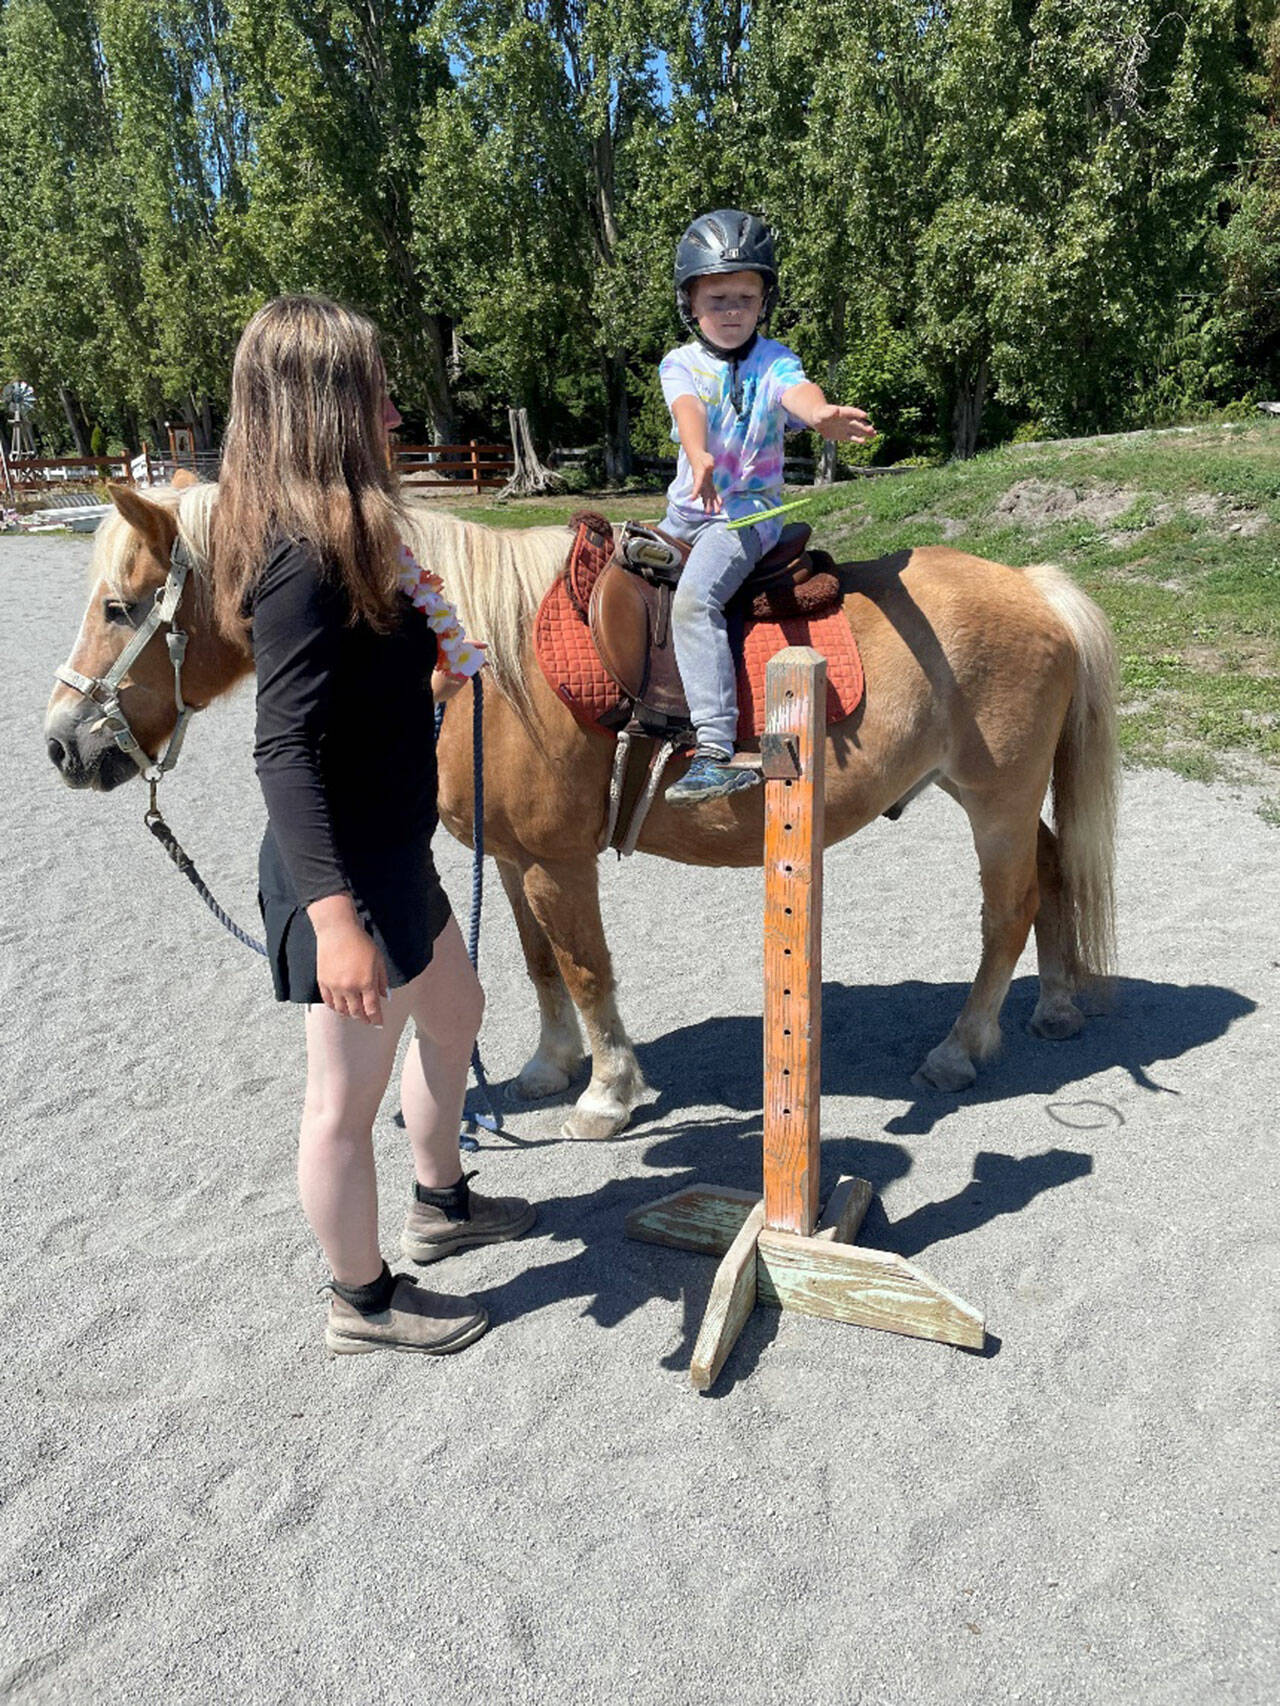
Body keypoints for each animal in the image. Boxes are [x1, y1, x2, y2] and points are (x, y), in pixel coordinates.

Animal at [45, 487, 1119, 1139]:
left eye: (117, 606)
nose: (61, 745)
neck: (474, 660)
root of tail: (1034, 587)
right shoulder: (516, 858)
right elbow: (537, 966)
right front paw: (552, 1066)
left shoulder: (561, 860)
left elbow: (587, 966)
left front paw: (607, 1093)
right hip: (1006, 800)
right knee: (1054, 874)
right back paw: (1060, 1005)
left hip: (995, 803)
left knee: (1007, 911)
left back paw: (962, 1048)